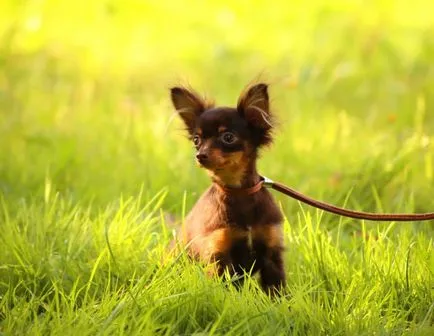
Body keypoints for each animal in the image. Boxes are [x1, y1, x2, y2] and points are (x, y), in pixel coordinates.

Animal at [171, 82, 286, 294]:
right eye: (196, 140)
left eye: (228, 137)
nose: (200, 155)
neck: (239, 192)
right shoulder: (218, 254)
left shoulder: (271, 253)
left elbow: (278, 290)